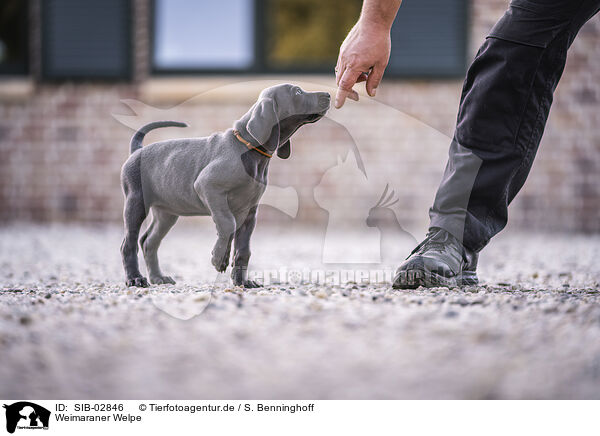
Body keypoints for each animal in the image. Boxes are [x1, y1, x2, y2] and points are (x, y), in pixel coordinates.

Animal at [119, 82, 330, 286]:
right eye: (297, 91)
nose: (328, 94)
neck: (249, 149)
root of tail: (137, 150)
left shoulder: (249, 212)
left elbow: (243, 249)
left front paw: (241, 281)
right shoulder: (208, 186)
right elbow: (227, 224)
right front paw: (218, 258)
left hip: (167, 212)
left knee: (148, 242)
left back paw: (158, 278)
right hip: (136, 202)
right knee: (128, 243)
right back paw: (135, 279)